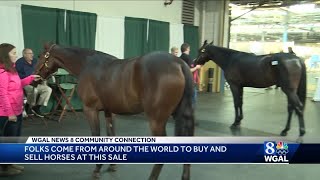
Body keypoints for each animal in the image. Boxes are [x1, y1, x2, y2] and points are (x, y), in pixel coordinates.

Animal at [34, 43, 195, 179]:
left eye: (41, 56)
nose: (35, 78)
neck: (87, 65)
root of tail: (179, 64)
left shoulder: (90, 110)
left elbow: (96, 136)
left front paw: (97, 168)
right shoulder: (108, 111)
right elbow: (111, 135)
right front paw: (112, 165)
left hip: (156, 120)